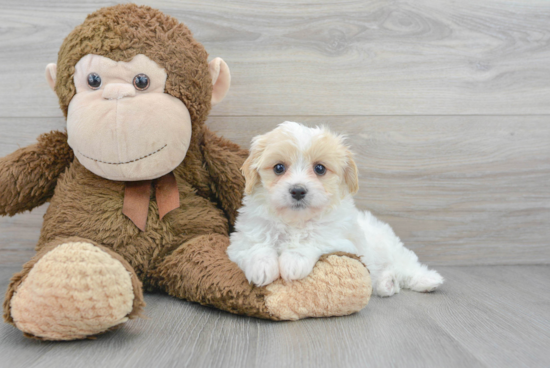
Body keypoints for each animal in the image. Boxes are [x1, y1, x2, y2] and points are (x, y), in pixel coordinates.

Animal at [226, 122, 446, 298]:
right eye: (279, 168)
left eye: (320, 169)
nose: (298, 190)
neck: (296, 221)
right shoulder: (243, 238)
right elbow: (256, 246)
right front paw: (262, 266)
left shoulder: (342, 241)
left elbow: (314, 239)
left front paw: (294, 260)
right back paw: (387, 283)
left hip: (389, 247)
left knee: (406, 264)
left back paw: (428, 280)